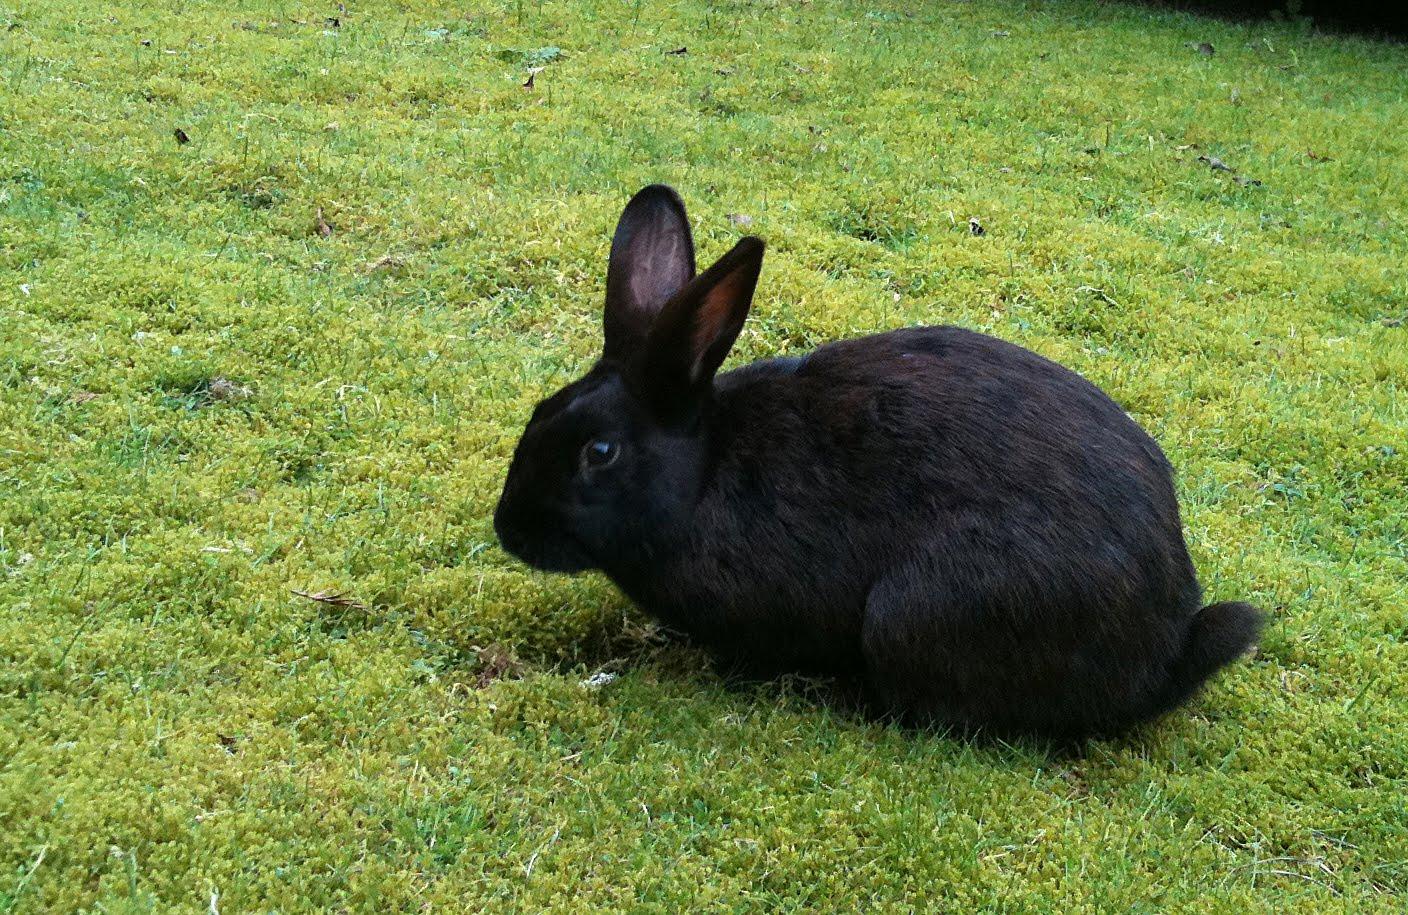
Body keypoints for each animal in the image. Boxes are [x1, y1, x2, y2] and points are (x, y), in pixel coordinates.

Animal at [494, 184, 1264, 738]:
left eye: (599, 451)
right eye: (539, 411)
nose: (508, 529)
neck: (704, 473)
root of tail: (1160, 656)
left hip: (915, 612)